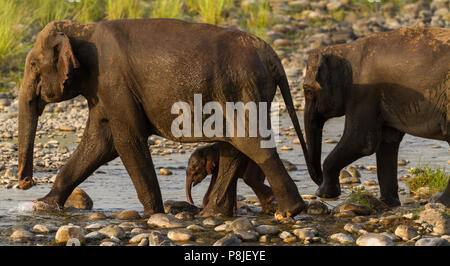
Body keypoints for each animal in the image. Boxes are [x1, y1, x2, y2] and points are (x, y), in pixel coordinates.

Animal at [18, 19, 312, 218]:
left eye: (33, 65)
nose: (25, 183)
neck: (82, 29)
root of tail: (273, 57)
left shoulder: (113, 82)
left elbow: (126, 141)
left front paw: (152, 215)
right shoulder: (103, 90)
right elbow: (99, 143)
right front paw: (42, 205)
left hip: (241, 88)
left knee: (250, 142)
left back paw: (289, 212)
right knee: (234, 146)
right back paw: (213, 215)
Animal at [302, 26, 450, 207]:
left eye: (307, 90)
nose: (318, 180)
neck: (345, 49)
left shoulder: (363, 93)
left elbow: (361, 142)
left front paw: (324, 194)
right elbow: (387, 141)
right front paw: (389, 204)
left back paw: (441, 202)